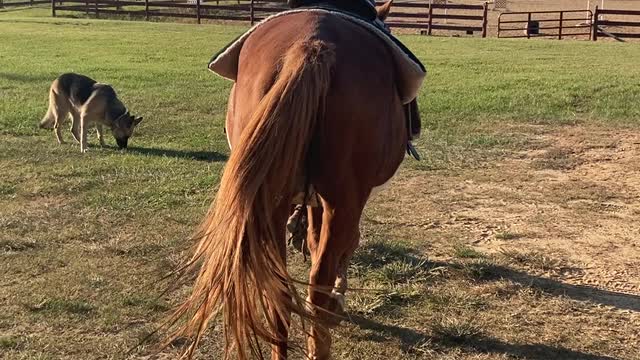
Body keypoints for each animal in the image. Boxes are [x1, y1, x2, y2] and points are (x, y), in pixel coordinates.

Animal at [170, 1, 416, 358]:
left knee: (280, 292)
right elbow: (344, 244)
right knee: (318, 286)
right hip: (342, 202)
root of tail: (312, 45)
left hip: (273, 203)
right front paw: (340, 296)